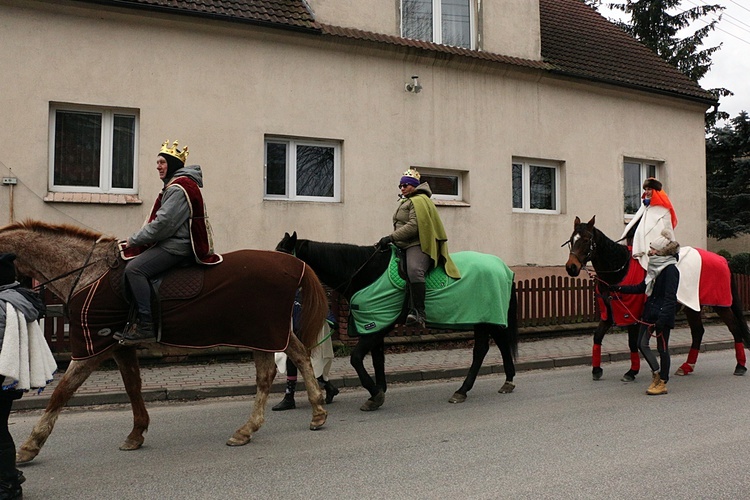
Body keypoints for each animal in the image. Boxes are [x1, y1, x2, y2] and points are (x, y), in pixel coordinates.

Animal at [0, 221, 328, 462]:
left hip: (261, 332)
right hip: (269, 333)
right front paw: (136, 433)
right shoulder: (120, 348)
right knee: (298, 357)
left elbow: (61, 393)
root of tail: (294, 265)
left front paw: (30, 446)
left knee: (269, 374)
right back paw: (316, 412)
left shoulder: (91, 350)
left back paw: (248, 429)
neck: (88, 274)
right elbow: (133, 387)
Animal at [280, 232, 520, 408]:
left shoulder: (376, 325)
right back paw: (507, 381)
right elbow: (377, 360)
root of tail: (503, 267)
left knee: (480, 351)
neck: (365, 272)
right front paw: (378, 391)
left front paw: (375, 393)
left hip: (483, 318)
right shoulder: (376, 326)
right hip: (488, 318)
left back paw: (462, 390)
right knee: (499, 344)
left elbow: (356, 358)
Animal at [564, 217, 750, 380]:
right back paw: (687, 367)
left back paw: (740, 366)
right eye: (572, 240)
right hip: (692, 307)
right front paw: (596, 369)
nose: (571, 267)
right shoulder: (609, 314)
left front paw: (632, 372)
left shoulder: (631, 315)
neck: (620, 269)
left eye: (586, 240)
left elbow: (632, 343)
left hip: (721, 305)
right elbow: (597, 336)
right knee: (698, 332)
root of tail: (723, 260)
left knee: (734, 328)